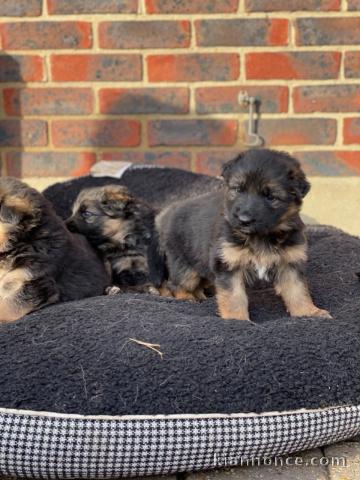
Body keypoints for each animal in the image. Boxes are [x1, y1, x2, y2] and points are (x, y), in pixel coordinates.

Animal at [156, 149, 330, 322]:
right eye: (238, 189)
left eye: (270, 197)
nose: (244, 220)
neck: (261, 236)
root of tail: (168, 214)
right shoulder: (228, 264)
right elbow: (234, 297)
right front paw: (237, 320)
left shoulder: (290, 263)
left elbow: (298, 291)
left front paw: (309, 313)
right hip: (185, 266)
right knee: (176, 284)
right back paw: (187, 298)